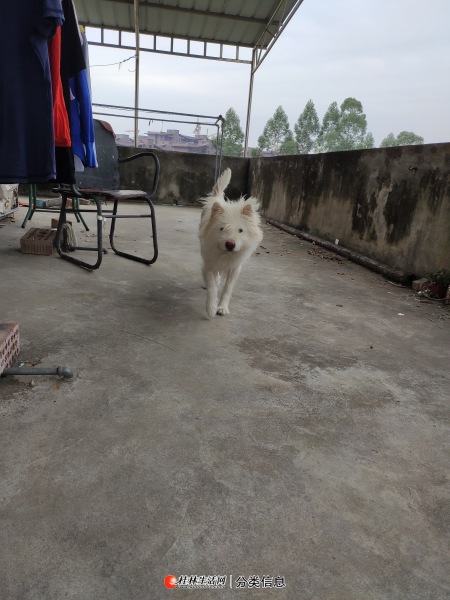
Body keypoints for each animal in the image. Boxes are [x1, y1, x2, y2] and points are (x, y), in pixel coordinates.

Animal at [199, 168, 263, 318]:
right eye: (222, 229)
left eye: (240, 230)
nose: (230, 244)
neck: (225, 254)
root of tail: (216, 198)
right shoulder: (210, 264)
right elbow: (212, 286)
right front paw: (211, 307)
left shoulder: (234, 268)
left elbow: (228, 288)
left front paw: (222, 307)